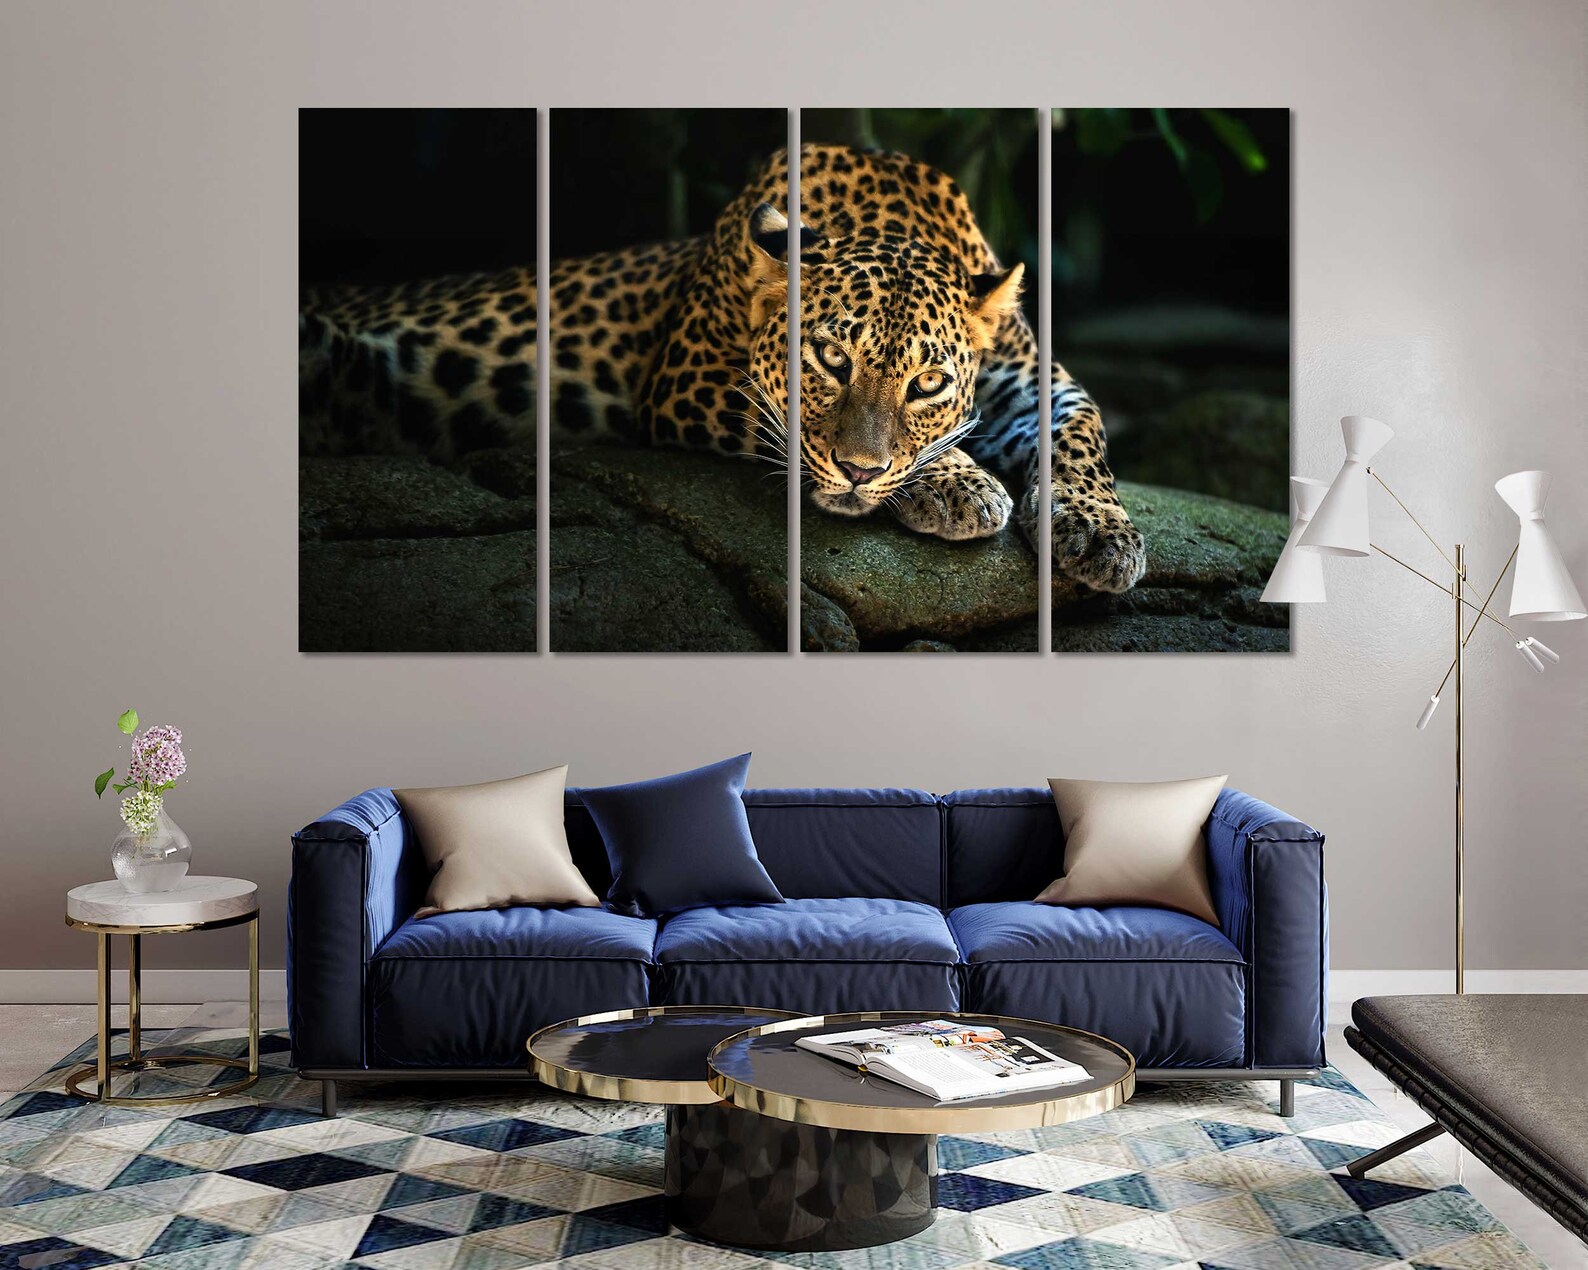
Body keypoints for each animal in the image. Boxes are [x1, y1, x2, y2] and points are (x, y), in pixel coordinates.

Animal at [300, 143, 1147, 594]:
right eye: (829, 358)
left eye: (928, 384)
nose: (859, 473)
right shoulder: (688, 375)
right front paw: (960, 483)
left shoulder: (1035, 382)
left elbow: (1084, 431)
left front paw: (1103, 533)